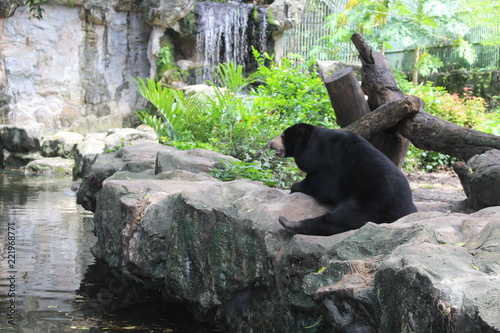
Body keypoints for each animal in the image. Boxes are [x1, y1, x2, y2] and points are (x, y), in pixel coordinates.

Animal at [270, 123, 418, 235]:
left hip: (374, 203)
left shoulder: (329, 161)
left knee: (341, 219)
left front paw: (294, 187)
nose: (270, 143)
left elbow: (322, 186)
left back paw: (287, 222)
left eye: (283, 136)